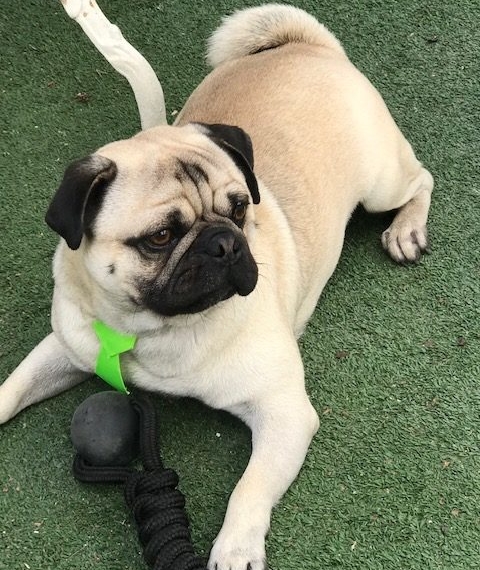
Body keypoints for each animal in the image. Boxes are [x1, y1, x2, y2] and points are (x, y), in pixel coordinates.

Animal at [0, 4, 434, 568]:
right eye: (160, 237)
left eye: (240, 208)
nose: (225, 242)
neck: (154, 330)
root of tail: (305, 45)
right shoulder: (65, 347)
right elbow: (15, 385)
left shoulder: (284, 412)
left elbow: (248, 489)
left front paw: (235, 548)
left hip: (382, 183)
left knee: (421, 179)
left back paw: (406, 231)